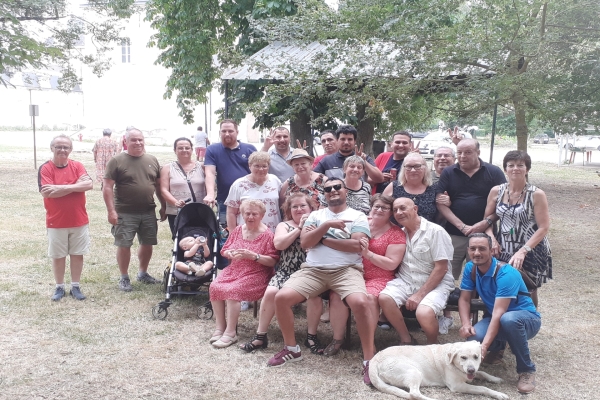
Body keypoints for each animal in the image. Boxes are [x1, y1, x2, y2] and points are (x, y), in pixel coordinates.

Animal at [370, 340, 506, 400]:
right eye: (463, 357)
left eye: (476, 357)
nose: (471, 370)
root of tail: (374, 358)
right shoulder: (457, 386)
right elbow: (483, 388)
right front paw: (499, 394)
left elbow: (483, 372)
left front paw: (495, 379)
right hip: (414, 372)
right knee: (414, 394)